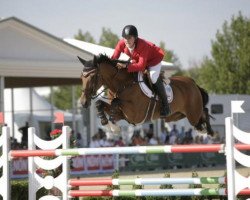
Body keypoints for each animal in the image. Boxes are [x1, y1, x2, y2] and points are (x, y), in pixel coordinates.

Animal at [78, 54, 215, 136]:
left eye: (93, 76)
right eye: (81, 77)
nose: (84, 102)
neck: (123, 85)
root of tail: (193, 83)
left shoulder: (135, 114)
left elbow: (116, 102)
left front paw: (112, 126)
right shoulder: (123, 115)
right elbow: (100, 103)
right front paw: (109, 125)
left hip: (193, 114)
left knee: (204, 113)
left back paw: (209, 131)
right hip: (176, 116)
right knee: (201, 115)